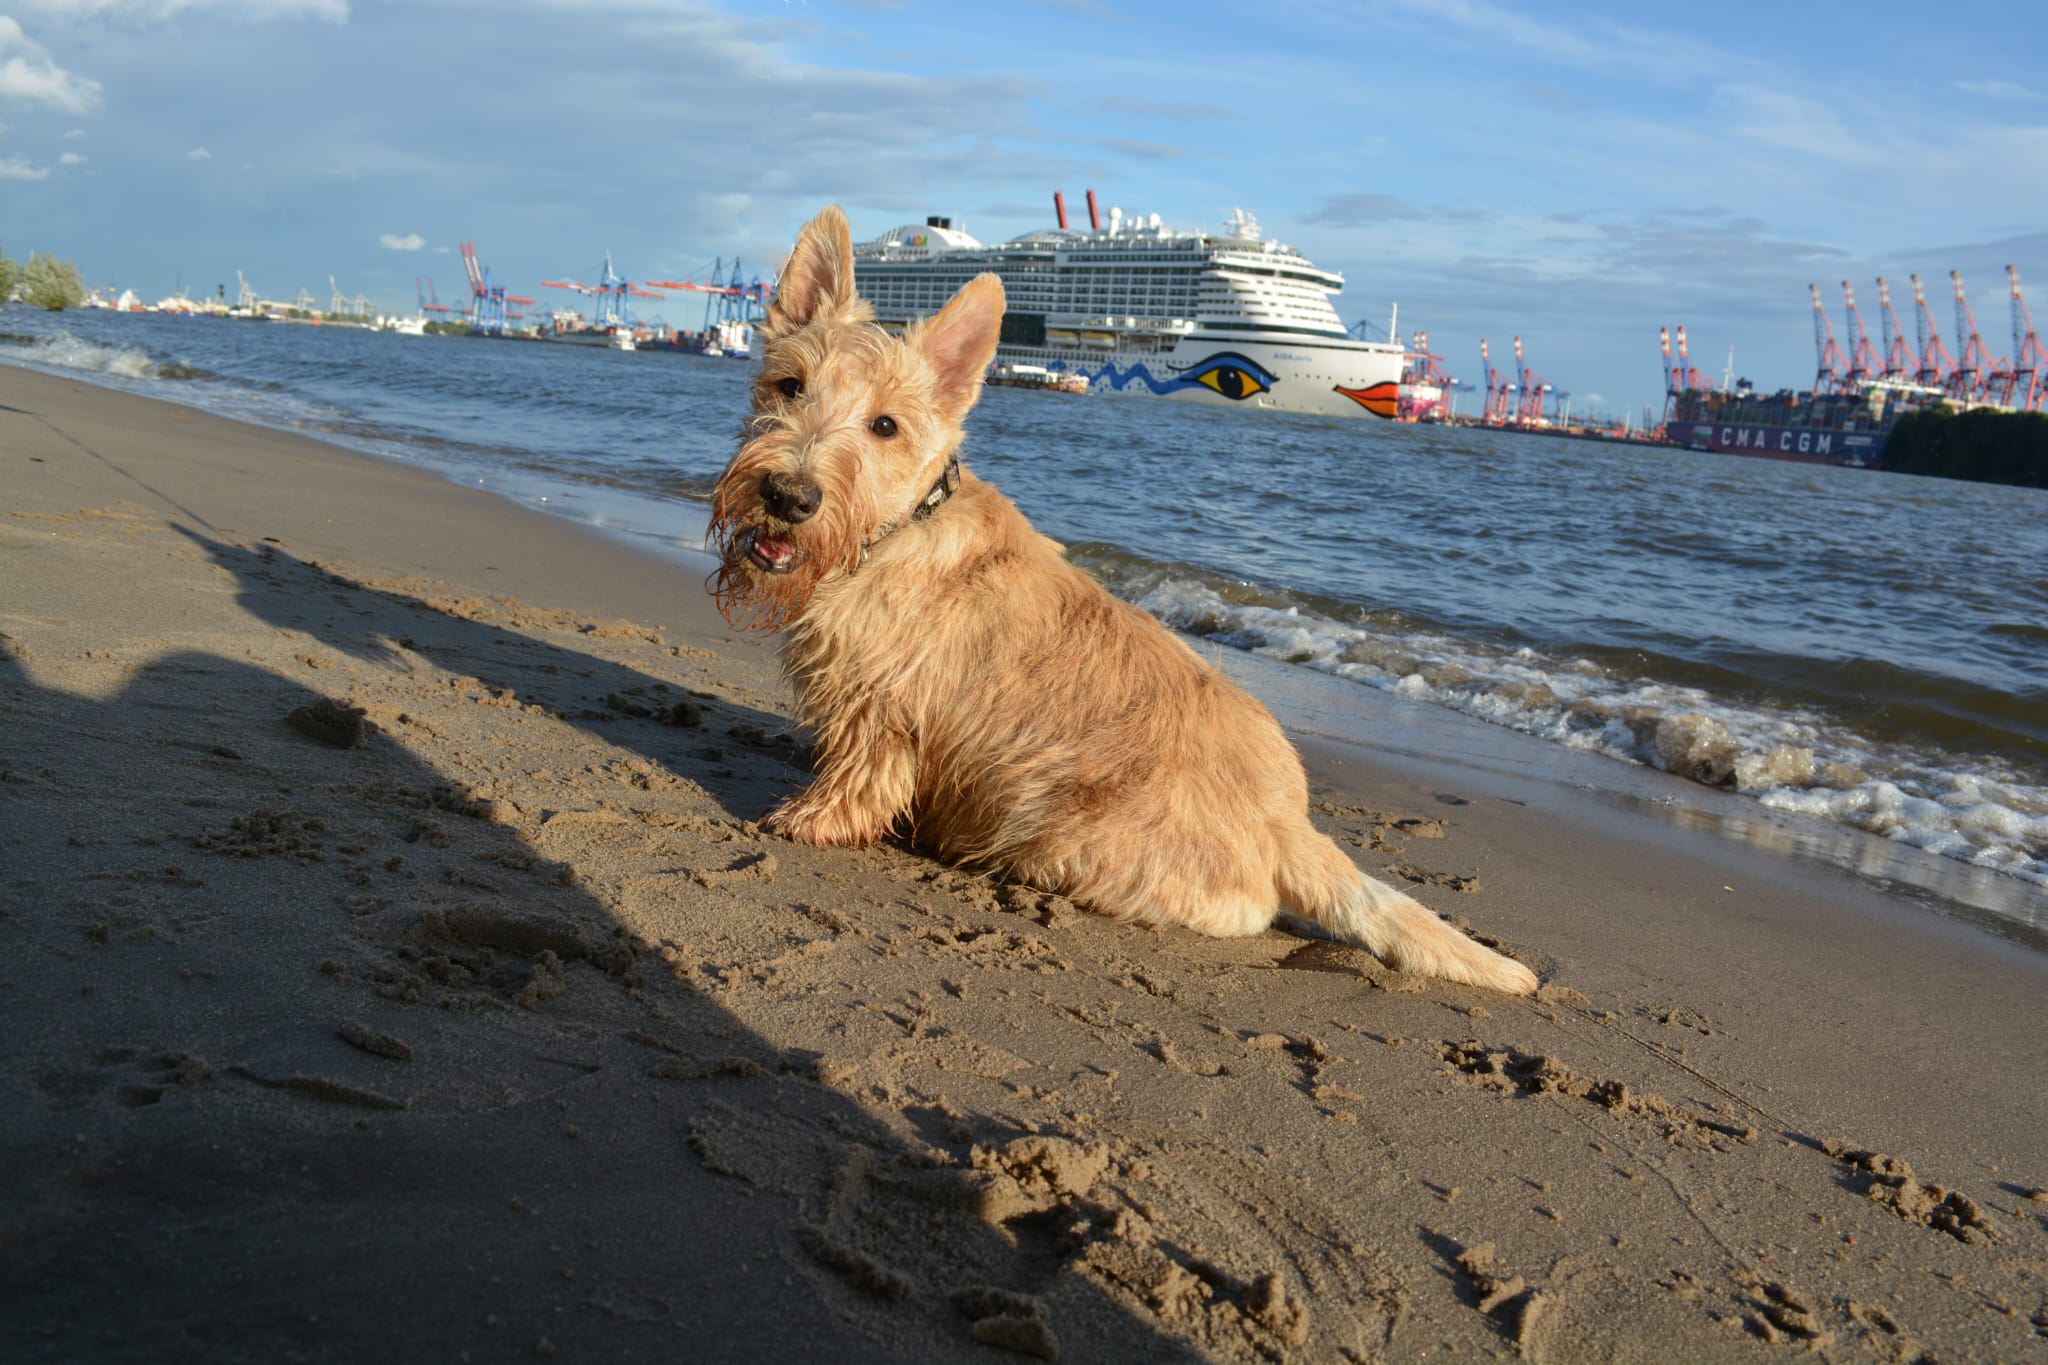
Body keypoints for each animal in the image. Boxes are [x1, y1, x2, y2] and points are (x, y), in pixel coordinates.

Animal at [706, 205, 1538, 995]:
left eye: (885, 425)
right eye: (790, 386)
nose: (787, 495)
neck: (897, 527)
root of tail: (1288, 828)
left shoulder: (883, 708)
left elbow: (857, 775)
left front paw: (811, 819)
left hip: (1055, 836)